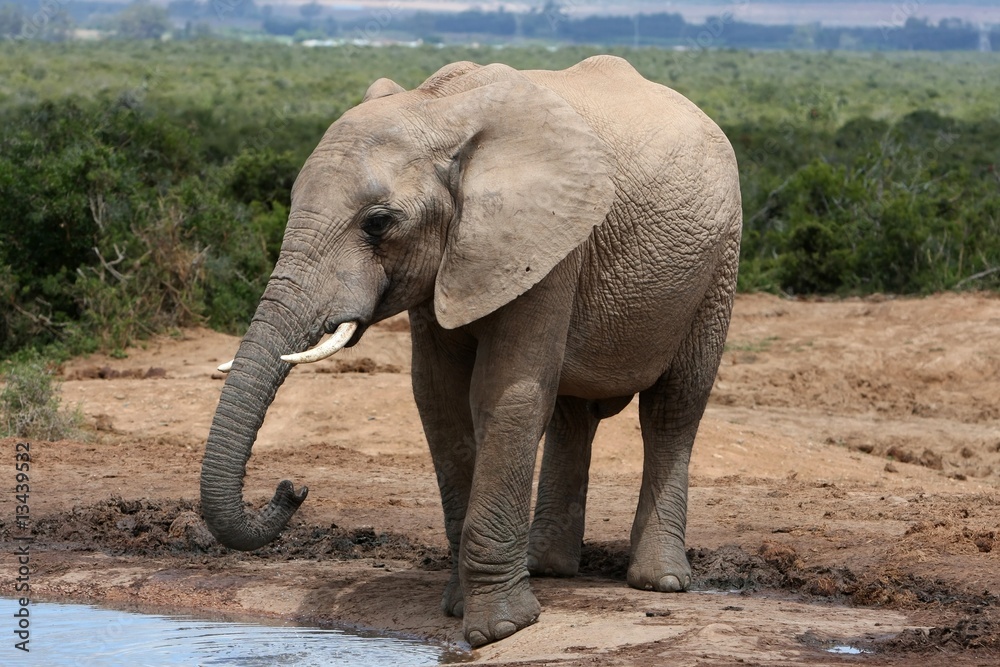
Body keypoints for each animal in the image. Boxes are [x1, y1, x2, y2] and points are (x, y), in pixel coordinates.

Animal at [200, 55, 742, 648]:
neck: (438, 110)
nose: (292, 488)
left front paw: (499, 629)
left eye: (377, 223)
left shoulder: (550, 243)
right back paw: (547, 568)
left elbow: (505, 394)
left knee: (674, 407)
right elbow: (439, 398)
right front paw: (462, 610)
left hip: (720, 263)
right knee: (571, 413)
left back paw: (659, 582)